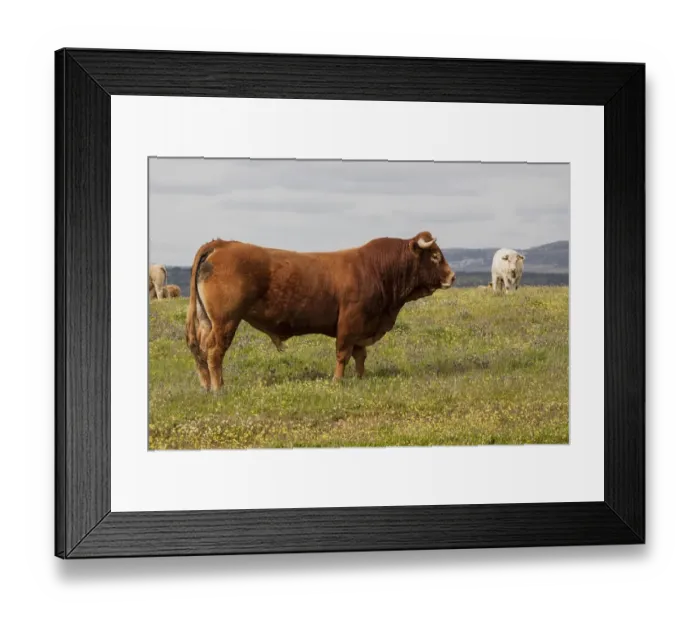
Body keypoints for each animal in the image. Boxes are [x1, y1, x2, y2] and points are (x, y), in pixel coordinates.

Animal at [185, 232, 456, 391]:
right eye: (434, 255)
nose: (453, 276)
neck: (376, 269)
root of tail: (222, 244)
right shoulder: (349, 322)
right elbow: (343, 353)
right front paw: (337, 381)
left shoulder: (363, 326)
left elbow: (360, 355)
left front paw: (361, 379)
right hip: (225, 321)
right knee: (214, 352)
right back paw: (219, 388)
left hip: (206, 321)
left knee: (201, 351)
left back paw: (206, 386)